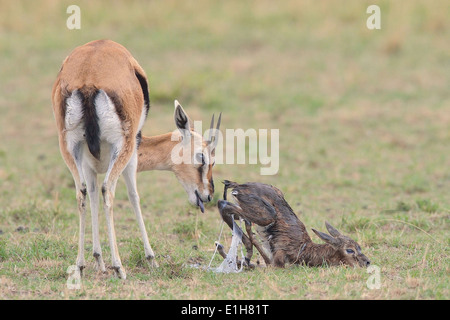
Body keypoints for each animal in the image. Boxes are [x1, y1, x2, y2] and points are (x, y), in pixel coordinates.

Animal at [217, 180, 370, 268]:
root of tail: (239, 185)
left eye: (359, 246)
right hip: (267, 216)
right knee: (223, 204)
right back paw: (246, 252)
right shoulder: (278, 261)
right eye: (350, 250)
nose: (367, 262)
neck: (304, 249)